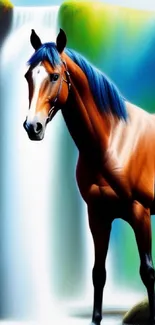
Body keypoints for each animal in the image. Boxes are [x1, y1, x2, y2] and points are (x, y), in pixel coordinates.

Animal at [23, 28, 155, 324]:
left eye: (55, 76)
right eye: (28, 76)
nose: (32, 126)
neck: (114, 142)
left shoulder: (140, 214)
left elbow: (148, 272)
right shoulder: (97, 214)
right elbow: (98, 274)